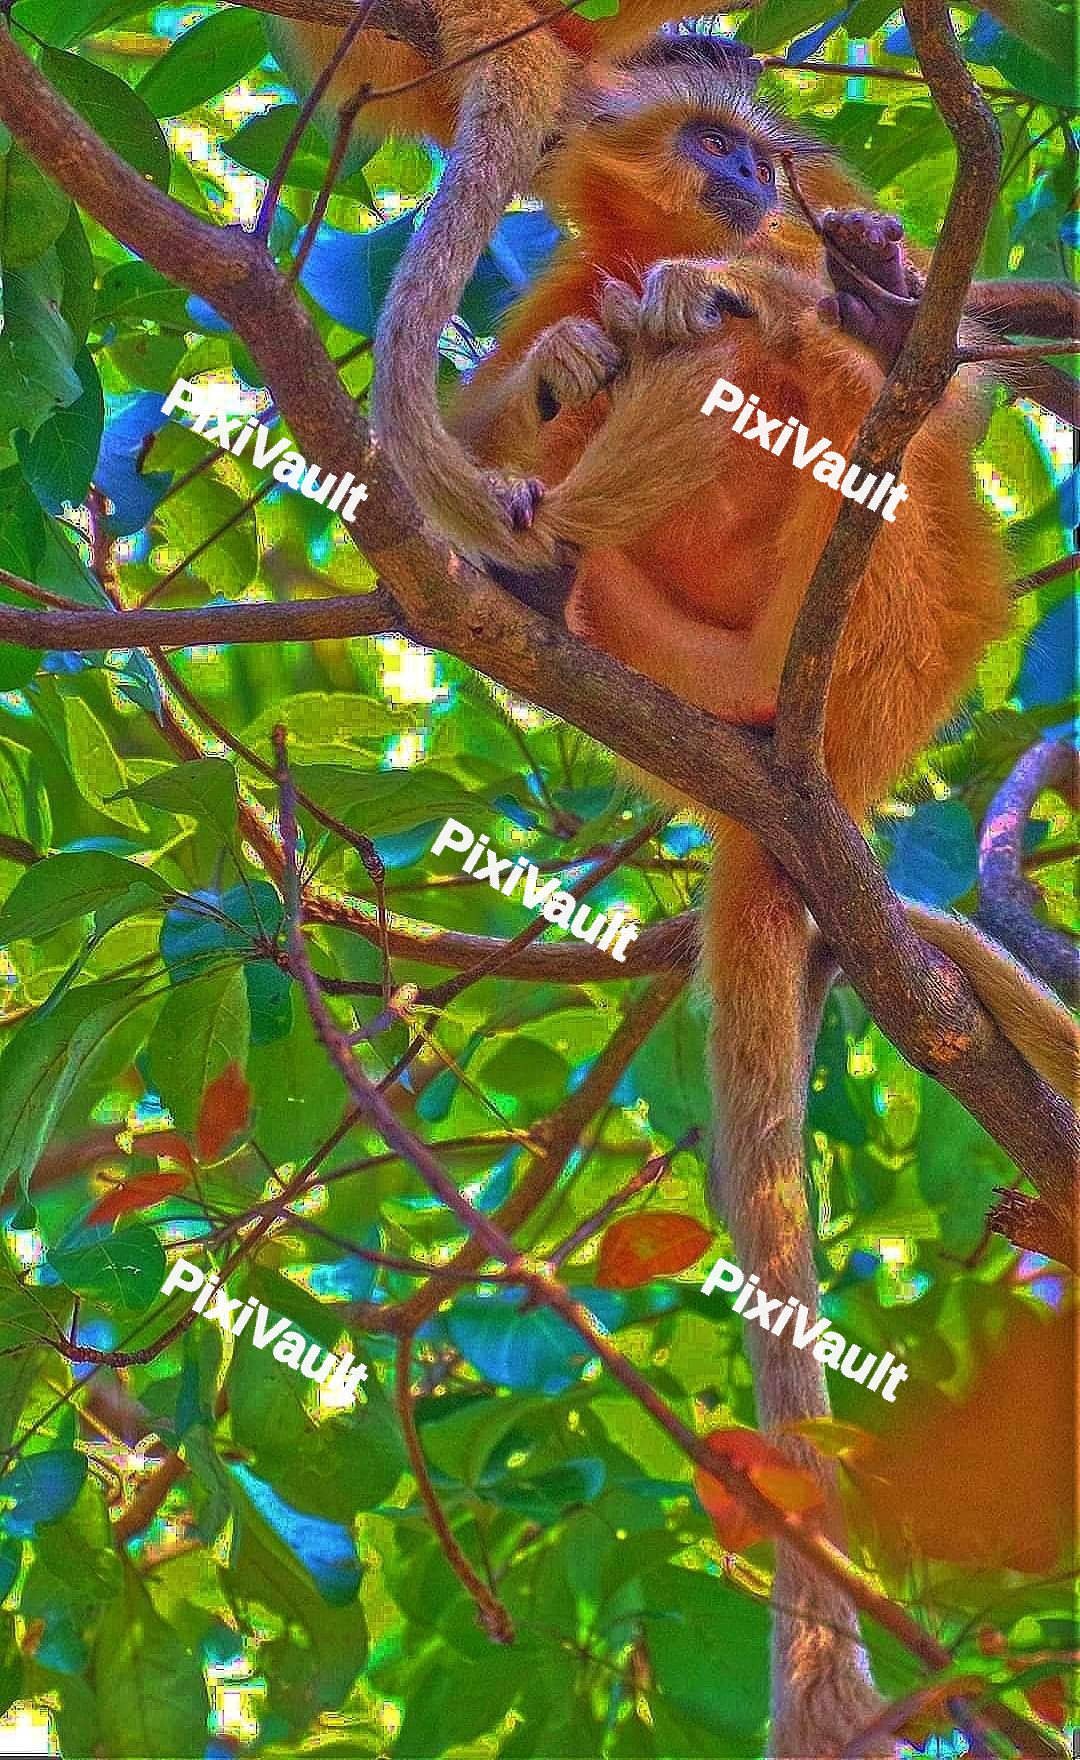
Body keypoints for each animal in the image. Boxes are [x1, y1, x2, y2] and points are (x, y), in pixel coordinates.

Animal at [445, 40, 1077, 1755]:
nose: (742, 185)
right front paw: (577, 357)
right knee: (596, 426)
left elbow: (918, 362)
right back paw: (554, 553)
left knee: (829, 383)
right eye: (708, 142)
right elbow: (481, 411)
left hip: (894, 620)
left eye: (757, 153)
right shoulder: (550, 289)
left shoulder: (820, 229)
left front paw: (781, 291)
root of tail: (806, 761)